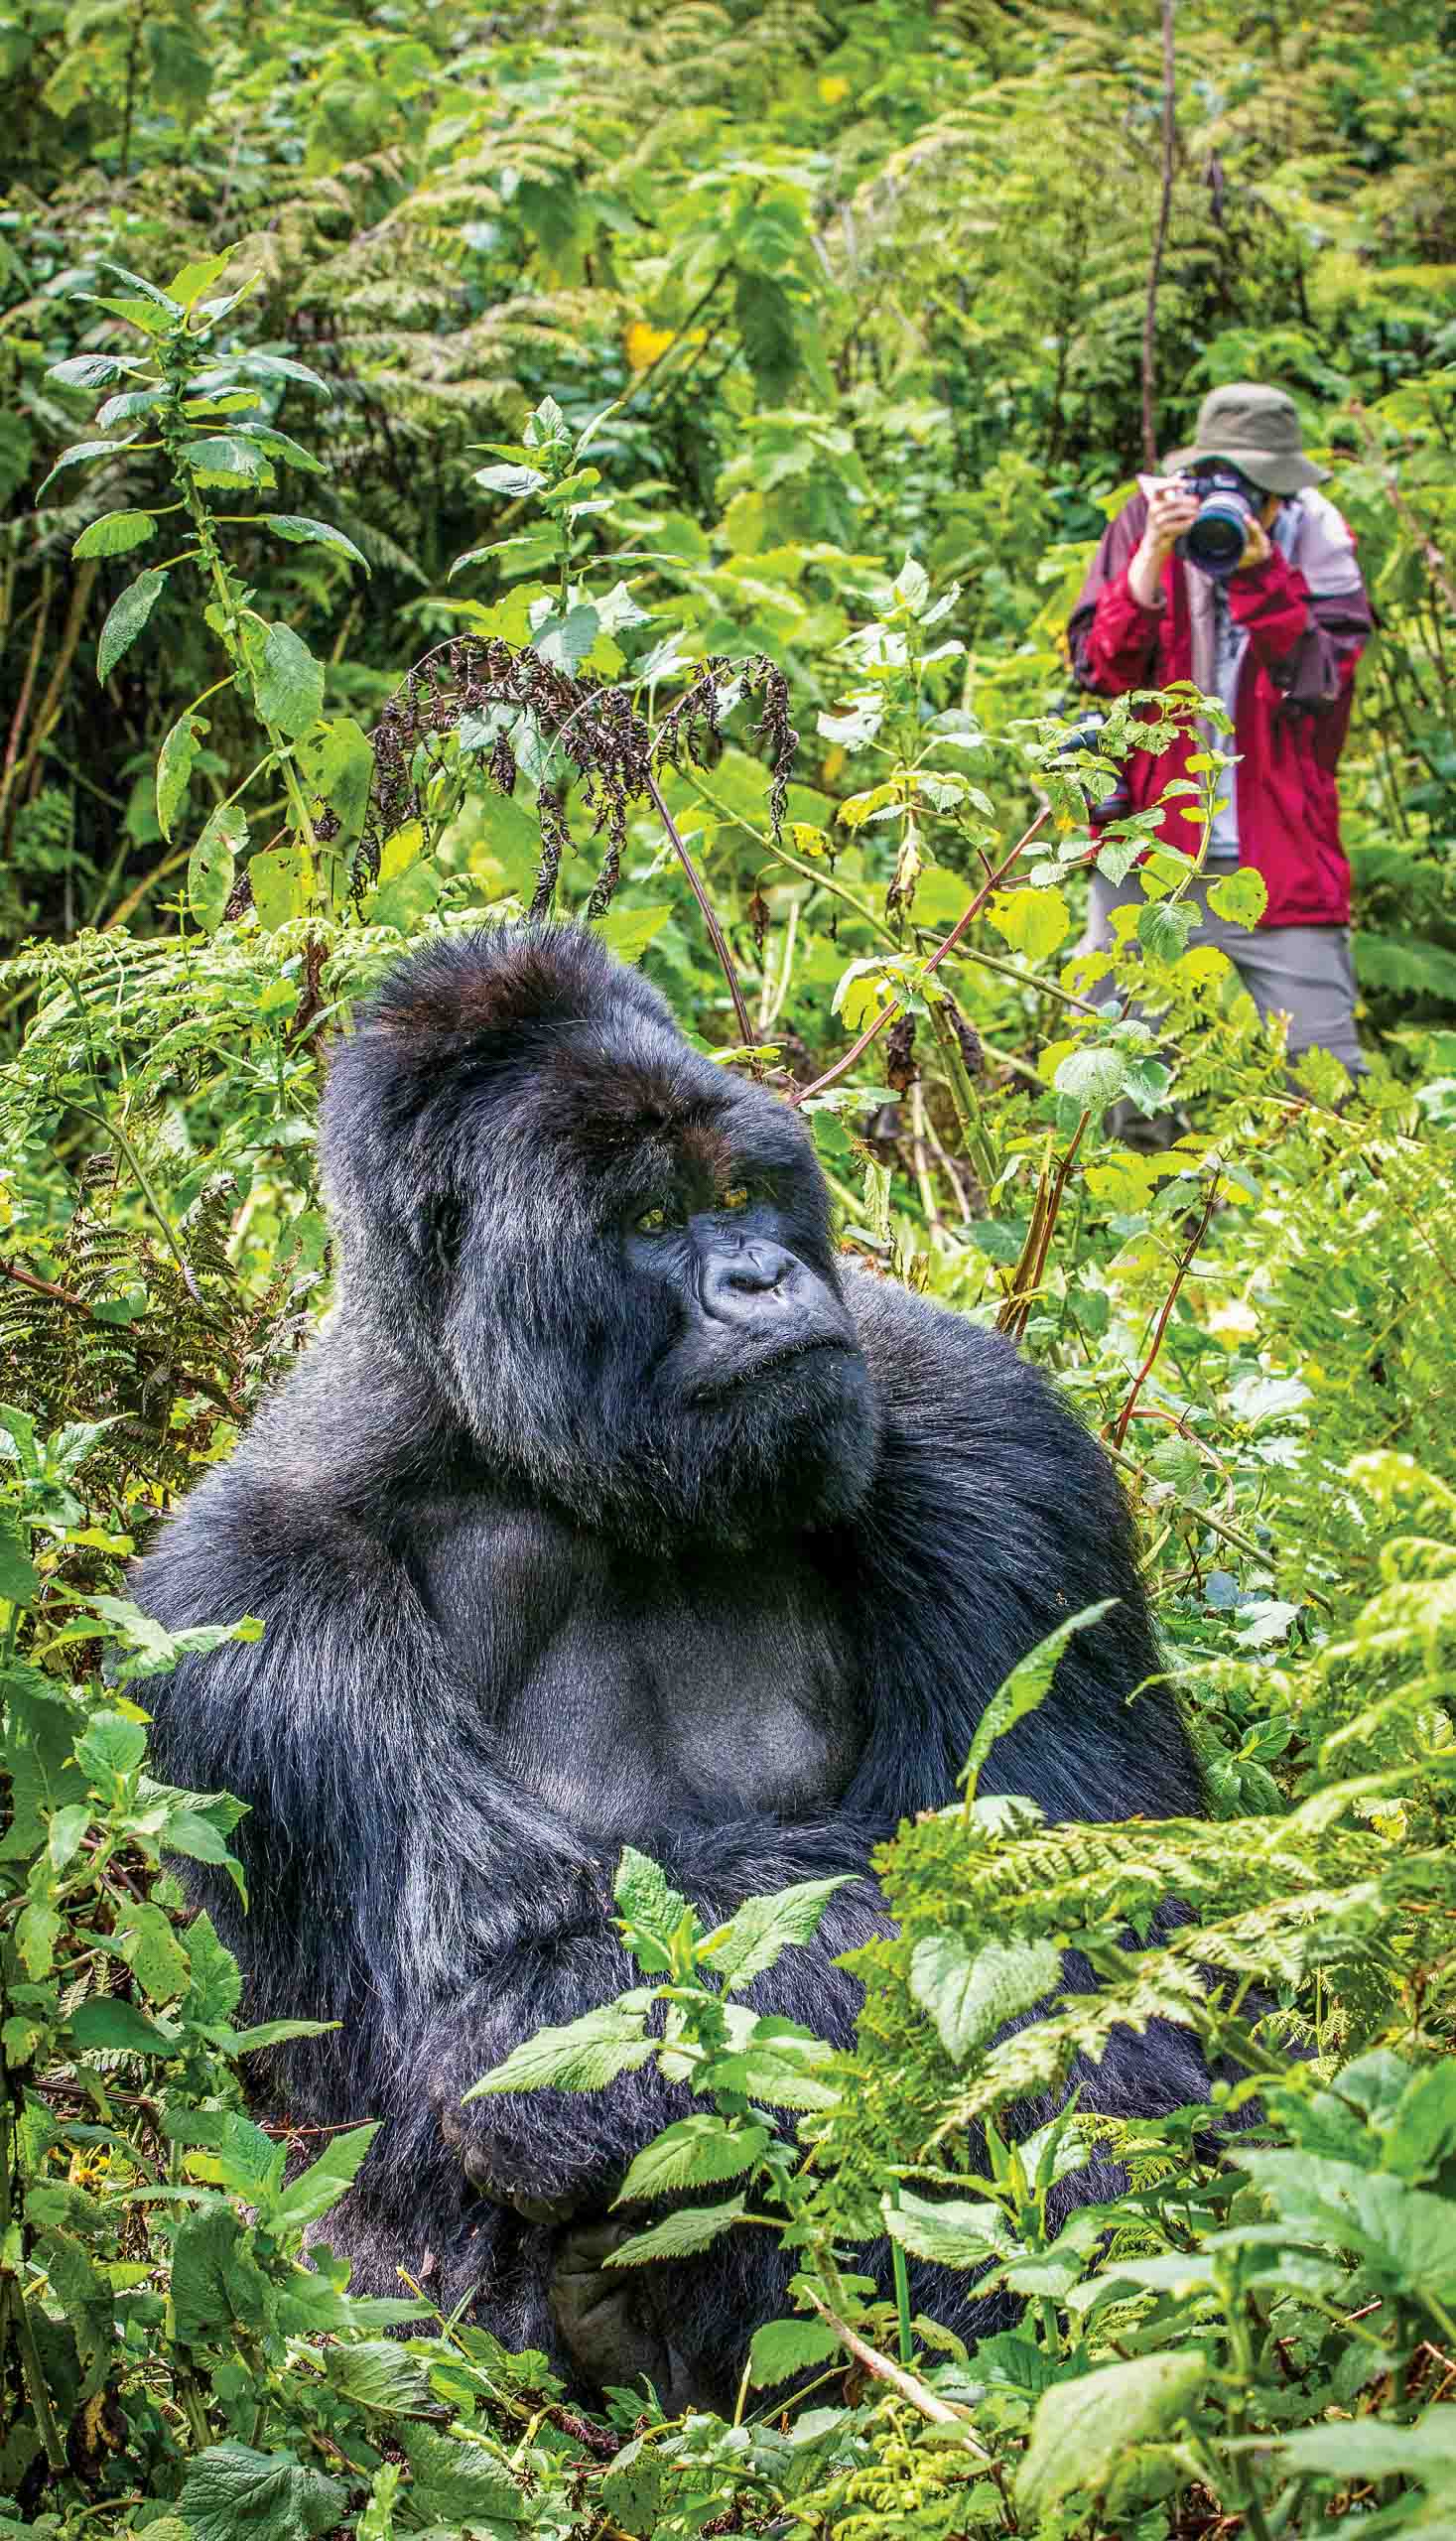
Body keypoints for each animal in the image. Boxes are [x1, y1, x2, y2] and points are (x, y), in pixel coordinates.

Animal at [135, 924, 1204, 2408]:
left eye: (743, 1194)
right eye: (650, 1223)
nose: (760, 1280)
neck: (522, 1449)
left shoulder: (986, 1429)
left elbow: (1089, 1897)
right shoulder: (248, 1604)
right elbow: (511, 1996)